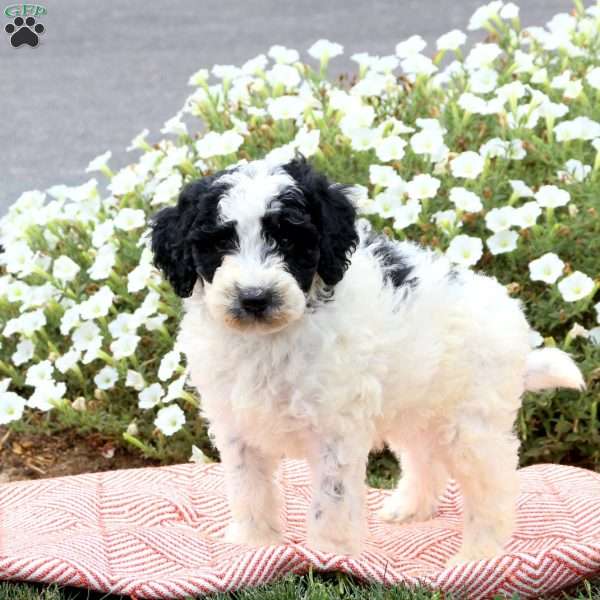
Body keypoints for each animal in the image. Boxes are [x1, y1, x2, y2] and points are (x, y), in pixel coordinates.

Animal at [149, 155, 580, 564]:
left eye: (288, 239)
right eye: (220, 244)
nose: (255, 298)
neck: (270, 339)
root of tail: (515, 322)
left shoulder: (334, 431)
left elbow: (331, 501)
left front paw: (329, 556)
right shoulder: (237, 428)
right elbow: (248, 488)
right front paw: (254, 544)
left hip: (472, 422)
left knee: (493, 487)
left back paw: (478, 554)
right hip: (417, 405)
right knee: (425, 461)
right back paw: (410, 508)